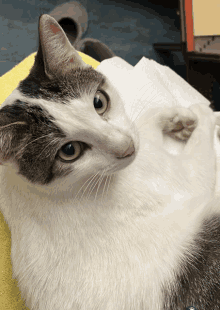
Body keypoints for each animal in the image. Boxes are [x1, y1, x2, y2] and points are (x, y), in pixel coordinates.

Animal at [0, 13, 219, 310]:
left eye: (98, 102)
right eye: (69, 150)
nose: (126, 148)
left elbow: (142, 126)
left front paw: (175, 117)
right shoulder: (181, 178)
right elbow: (199, 165)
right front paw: (204, 113)